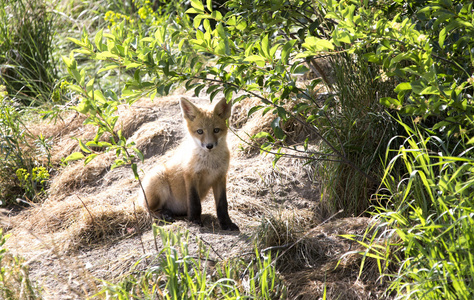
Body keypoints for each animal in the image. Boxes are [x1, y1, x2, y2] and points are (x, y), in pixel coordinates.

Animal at [139, 97, 239, 231]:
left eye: (216, 130)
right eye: (200, 131)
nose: (209, 146)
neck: (210, 164)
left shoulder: (220, 177)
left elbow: (222, 205)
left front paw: (226, 223)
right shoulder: (191, 175)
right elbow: (195, 203)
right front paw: (195, 221)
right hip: (158, 179)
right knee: (148, 210)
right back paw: (164, 215)